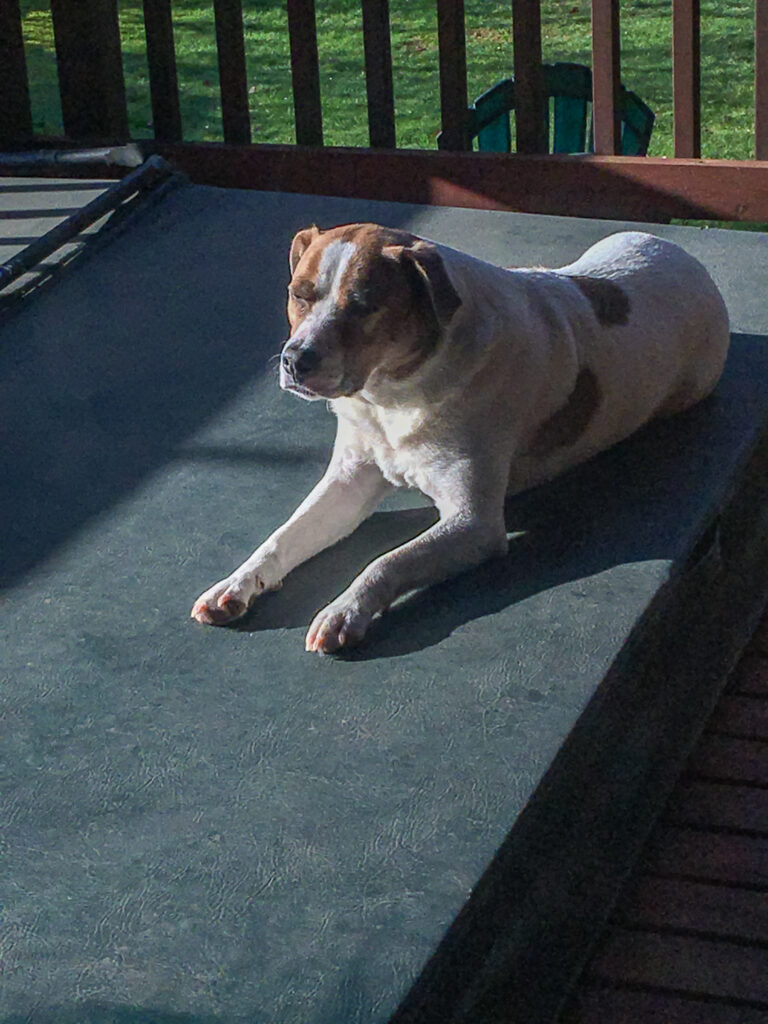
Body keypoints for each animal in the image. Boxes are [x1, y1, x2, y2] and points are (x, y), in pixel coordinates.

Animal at [189, 225, 729, 655]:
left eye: (363, 306)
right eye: (299, 294)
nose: (296, 360)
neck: (394, 395)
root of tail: (688, 259)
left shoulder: (474, 524)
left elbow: (389, 560)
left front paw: (346, 609)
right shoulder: (347, 483)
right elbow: (283, 536)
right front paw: (238, 582)